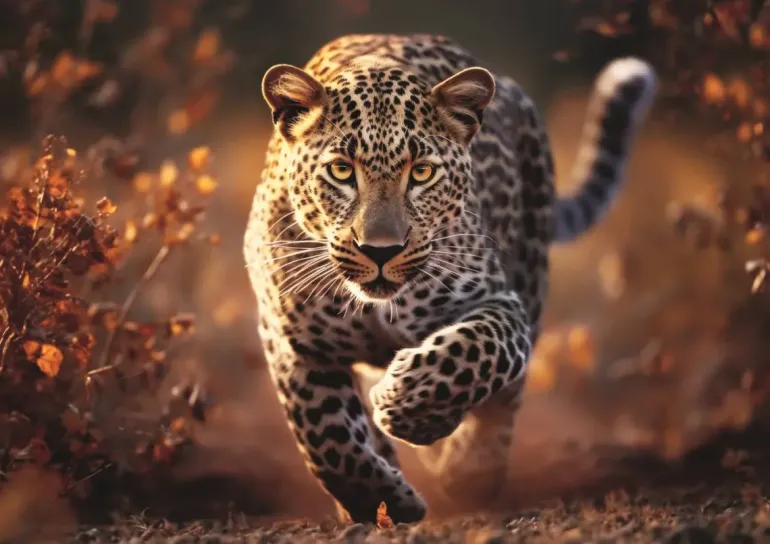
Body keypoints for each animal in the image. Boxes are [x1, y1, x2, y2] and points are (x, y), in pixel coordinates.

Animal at [243, 33, 657, 524]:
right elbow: (326, 437)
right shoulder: (292, 341)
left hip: (532, 272)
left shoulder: (499, 302)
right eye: (341, 170)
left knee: (505, 399)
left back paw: (471, 468)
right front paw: (382, 502)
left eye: (421, 173)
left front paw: (407, 404)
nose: (380, 250)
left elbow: (473, 353)